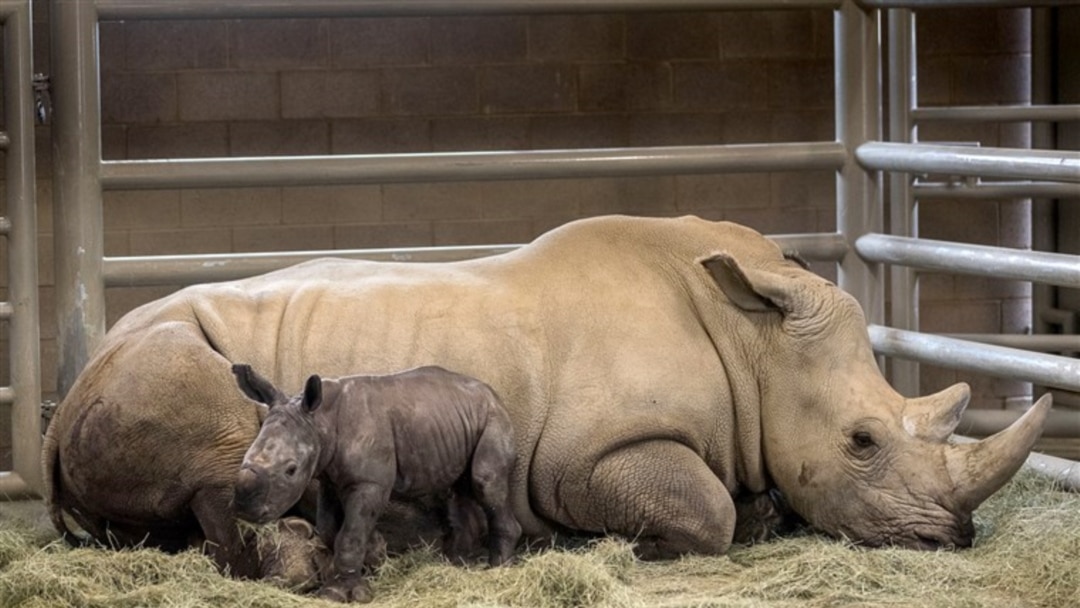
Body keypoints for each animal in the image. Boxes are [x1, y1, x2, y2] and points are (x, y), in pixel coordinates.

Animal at [43, 214, 1049, 574]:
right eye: (862, 443)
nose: (954, 538)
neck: (756, 344)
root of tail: (55, 411)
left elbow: (739, 501)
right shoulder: (585, 458)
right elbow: (707, 510)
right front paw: (630, 544)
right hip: (152, 361)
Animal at [232, 364, 521, 602]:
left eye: (291, 470)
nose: (245, 509)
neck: (320, 420)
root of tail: (493, 394)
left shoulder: (369, 482)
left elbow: (349, 535)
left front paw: (338, 594)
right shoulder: (329, 480)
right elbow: (329, 529)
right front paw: (375, 555)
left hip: (494, 418)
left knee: (485, 482)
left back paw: (498, 569)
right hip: (456, 419)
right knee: (460, 489)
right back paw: (458, 566)